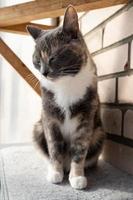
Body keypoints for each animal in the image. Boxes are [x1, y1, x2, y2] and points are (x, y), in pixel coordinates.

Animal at [26, 4, 105, 189]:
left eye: (53, 57)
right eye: (37, 60)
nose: (43, 72)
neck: (65, 83)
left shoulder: (86, 117)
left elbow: (80, 150)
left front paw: (77, 177)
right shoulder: (49, 117)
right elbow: (54, 148)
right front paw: (56, 173)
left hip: (99, 133)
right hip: (37, 129)